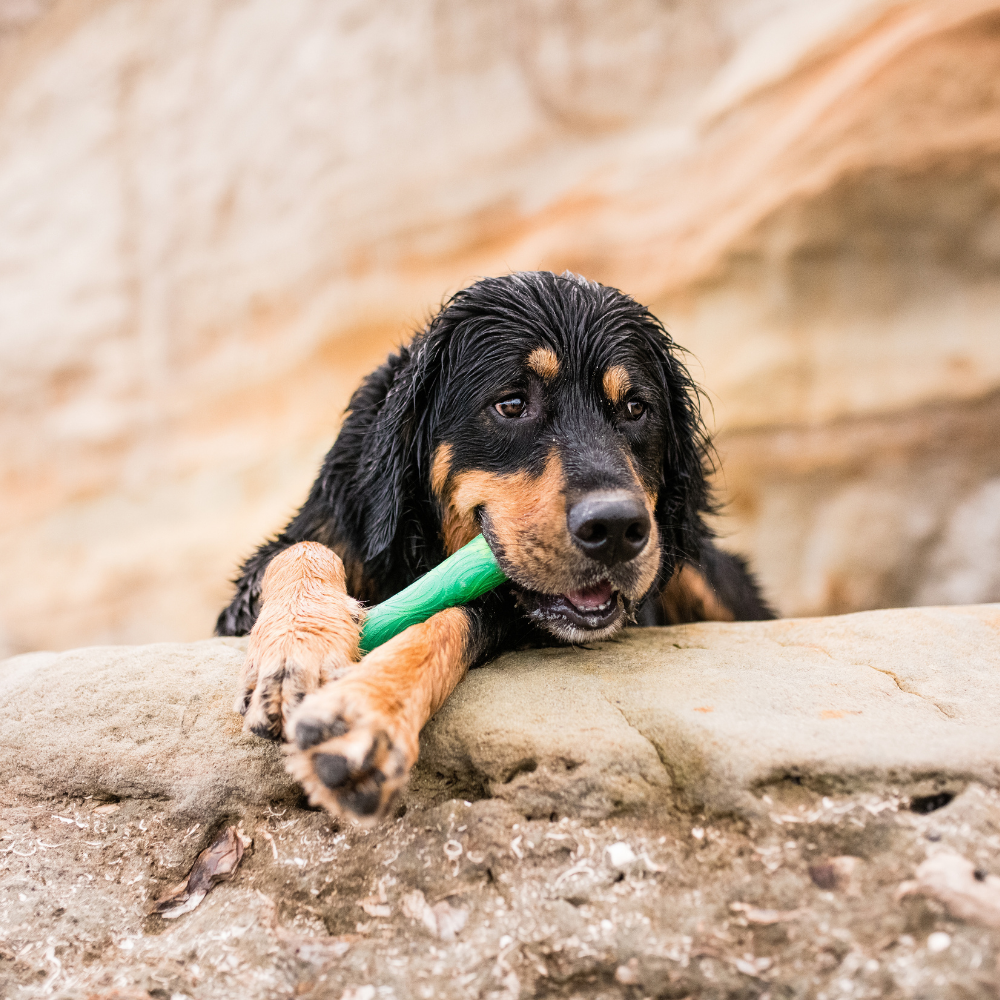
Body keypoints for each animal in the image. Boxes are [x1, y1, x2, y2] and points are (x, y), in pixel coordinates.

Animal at [215, 272, 768, 820]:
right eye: (512, 405)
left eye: (635, 409)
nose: (615, 528)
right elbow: (300, 551)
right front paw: (297, 649)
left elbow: (456, 614)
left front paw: (369, 707)